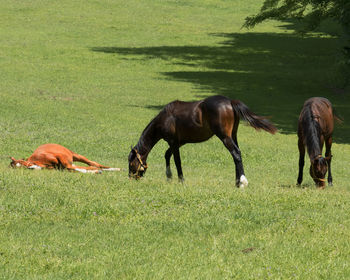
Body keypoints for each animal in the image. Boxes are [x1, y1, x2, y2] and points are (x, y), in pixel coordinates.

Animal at [129, 94, 276, 188]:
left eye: (131, 164)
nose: (131, 178)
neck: (166, 117)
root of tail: (230, 101)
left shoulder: (173, 142)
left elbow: (177, 161)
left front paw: (181, 180)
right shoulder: (179, 142)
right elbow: (167, 154)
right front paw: (169, 177)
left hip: (225, 137)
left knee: (236, 153)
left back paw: (242, 182)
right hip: (233, 135)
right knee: (237, 155)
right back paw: (237, 182)